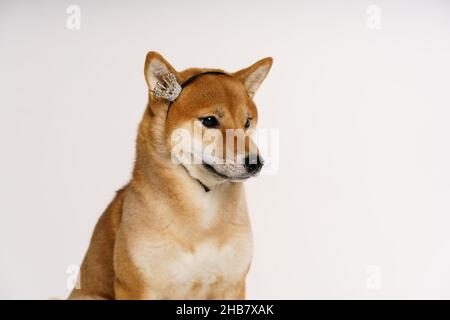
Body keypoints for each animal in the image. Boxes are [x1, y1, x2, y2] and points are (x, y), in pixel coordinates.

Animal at [68, 51, 272, 298]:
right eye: (210, 121)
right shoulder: (137, 287)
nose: (256, 162)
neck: (203, 220)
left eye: (247, 122)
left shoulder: (232, 284)